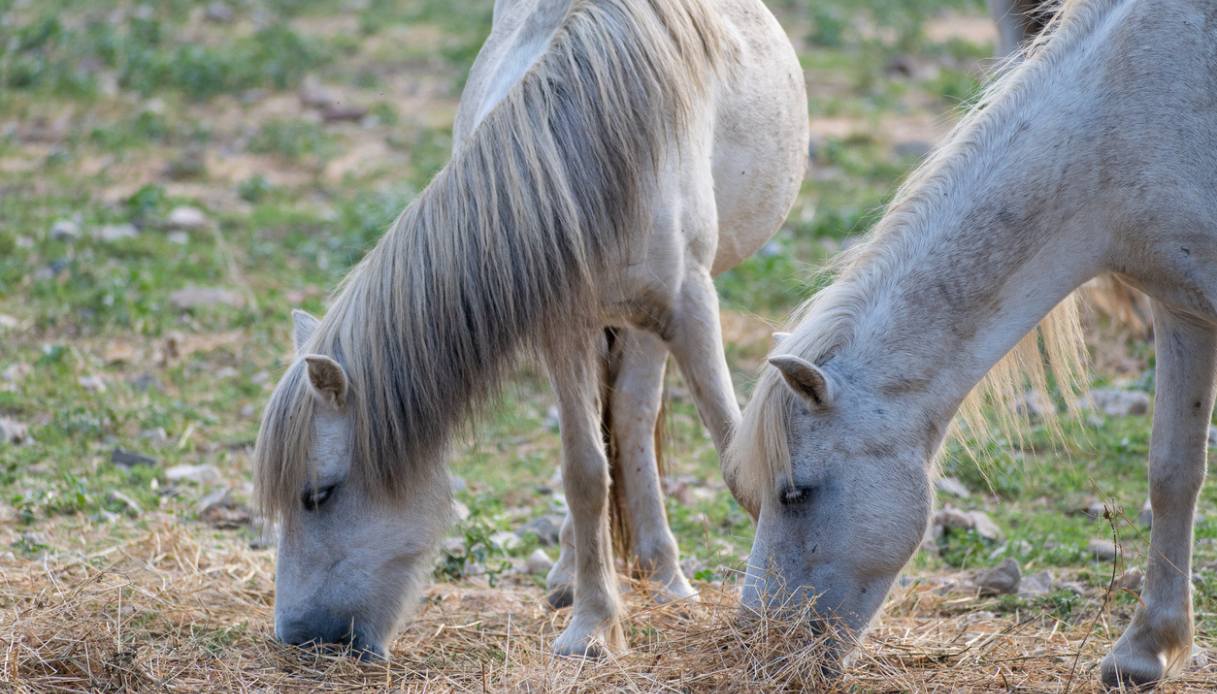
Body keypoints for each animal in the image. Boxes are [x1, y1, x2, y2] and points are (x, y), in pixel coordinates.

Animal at [255, 0, 808, 657]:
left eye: (318, 494)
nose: (298, 636)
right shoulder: (560, 323)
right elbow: (585, 473)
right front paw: (593, 626)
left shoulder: (691, 305)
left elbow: (733, 452)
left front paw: (779, 611)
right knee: (617, 428)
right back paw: (587, 574)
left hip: (652, 319)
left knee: (633, 414)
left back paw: (669, 578)